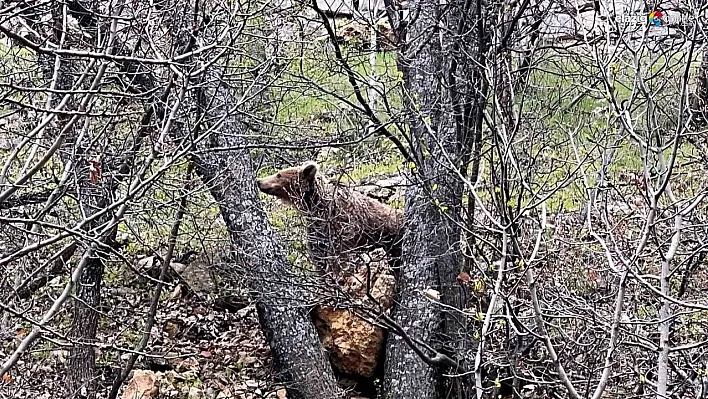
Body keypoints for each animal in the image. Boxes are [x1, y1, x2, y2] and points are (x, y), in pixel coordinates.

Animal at [256, 161, 402, 276]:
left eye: (278, 174)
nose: (258, 181)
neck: (316, 208)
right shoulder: (317, 230)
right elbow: (318, 256)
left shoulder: (342, 227)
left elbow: (338, 258)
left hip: (392, 240)